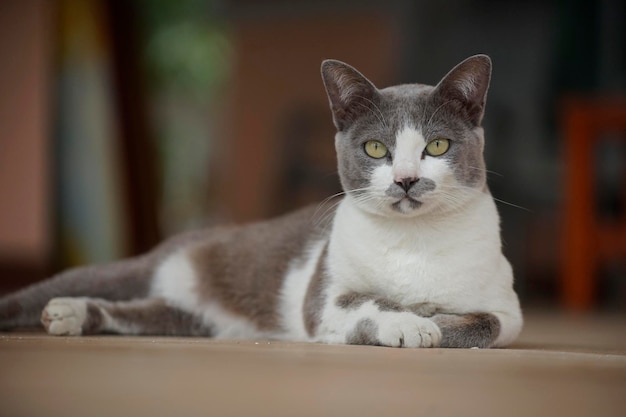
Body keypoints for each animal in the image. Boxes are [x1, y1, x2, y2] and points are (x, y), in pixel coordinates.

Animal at [0, 55, 520, 348]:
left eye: (437, 146)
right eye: (376, 148)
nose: (407, 180)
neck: (414, 240)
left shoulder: (509, 311)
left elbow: (484, 324)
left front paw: (434, 318)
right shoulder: (325, 295)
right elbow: (365, 304)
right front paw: (411, 324)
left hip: (186, 317)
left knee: (135, 315)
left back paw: (72, 314)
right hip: (137, 267)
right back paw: (54, 307)